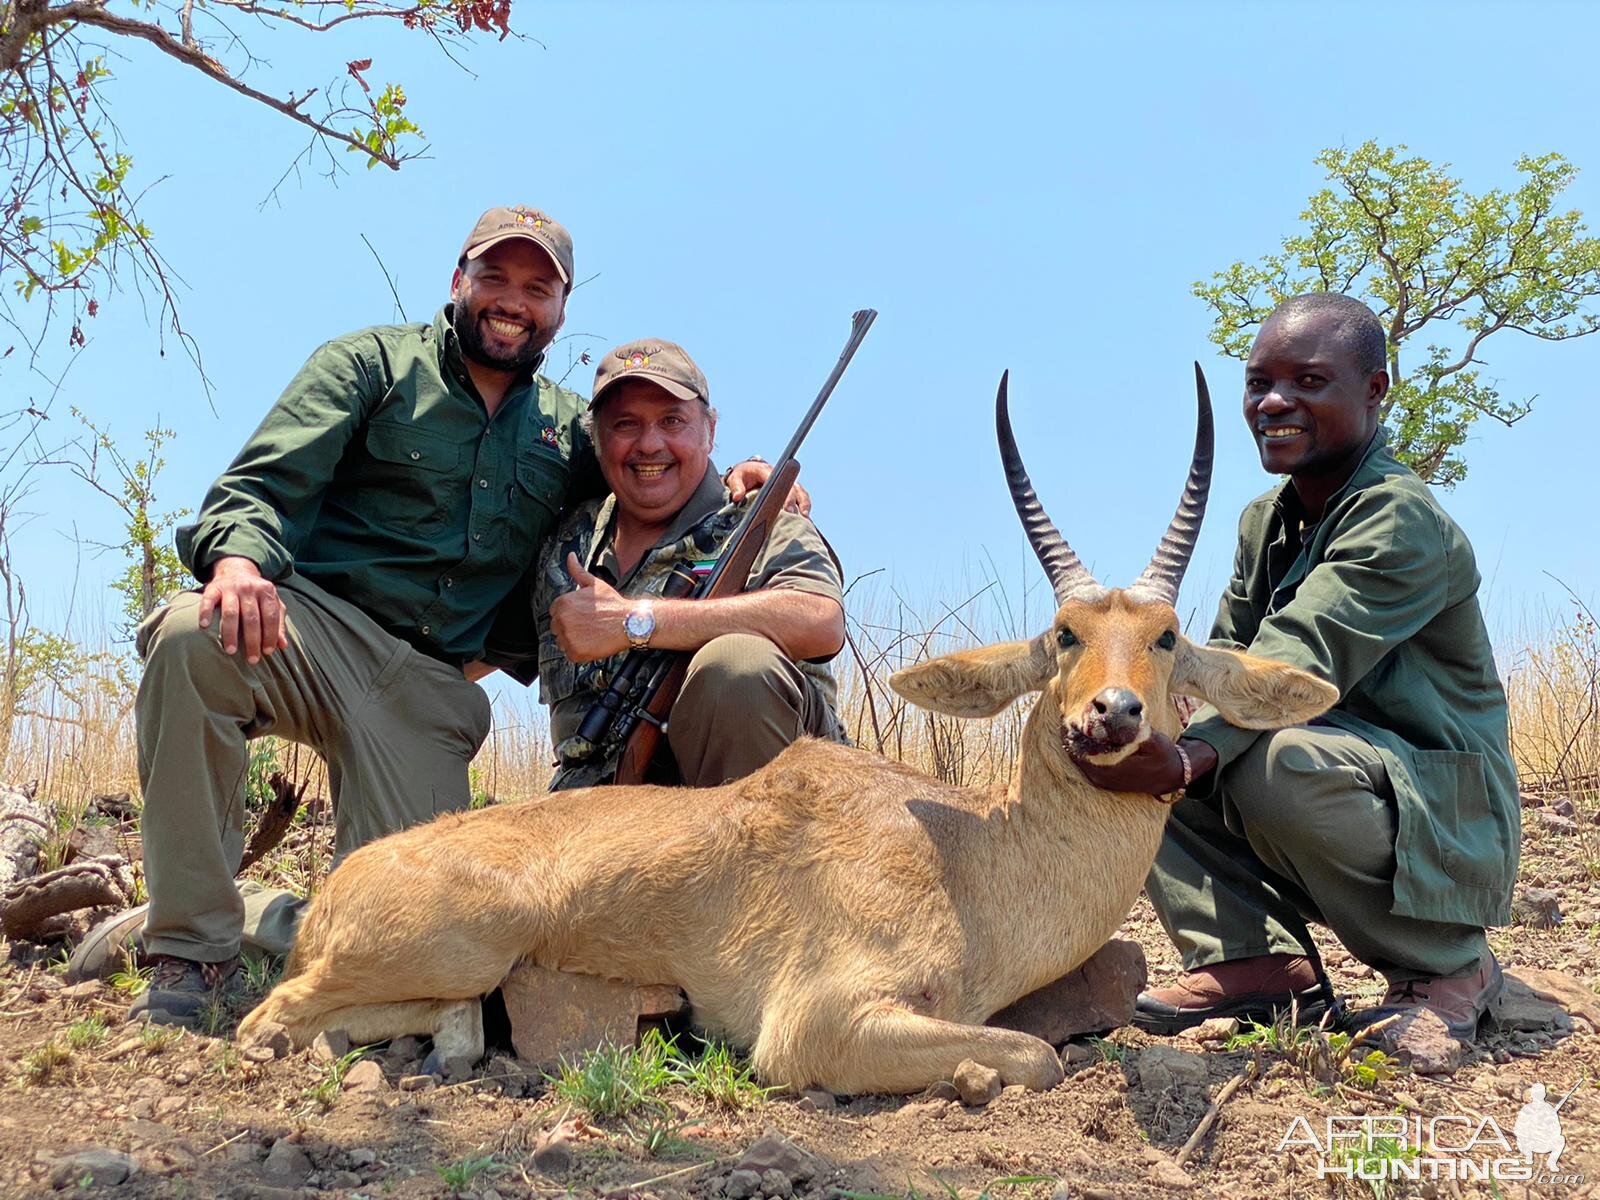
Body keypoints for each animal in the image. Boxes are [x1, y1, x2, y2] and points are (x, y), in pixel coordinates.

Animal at [240, 369, 1337, 1100]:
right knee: (271, 1021)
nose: (1110, 714)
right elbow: (1030, 1056)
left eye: (1166, 638)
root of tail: (338, 886)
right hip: (450, 947)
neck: (970, 852)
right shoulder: (819, 1023)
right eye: (1063, 634)